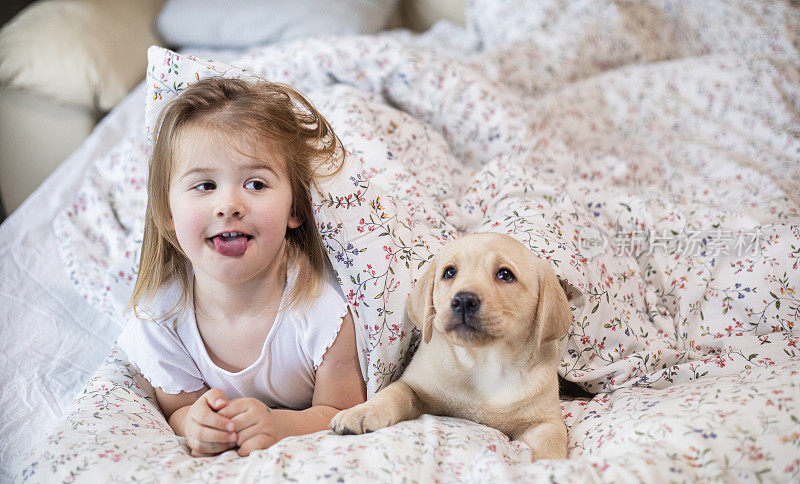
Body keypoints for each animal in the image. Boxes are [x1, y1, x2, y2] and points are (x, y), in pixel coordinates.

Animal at [332, 233, 576, 460]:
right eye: (449, 272)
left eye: (505, 275)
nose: (464, 301)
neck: (483, 360)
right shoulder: (416, 387)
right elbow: (392, 393)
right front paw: (360, 412)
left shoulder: (546, 421)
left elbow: (550, 446)